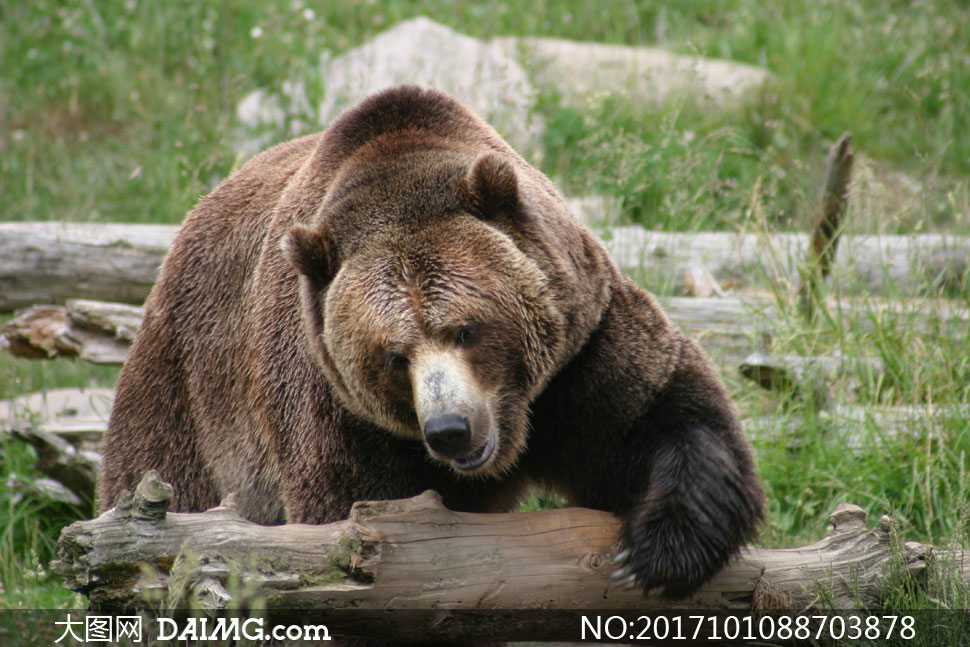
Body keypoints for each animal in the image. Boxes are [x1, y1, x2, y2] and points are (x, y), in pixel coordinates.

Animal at [98, 87, 764, 608]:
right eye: (394, 356)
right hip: (186, 397)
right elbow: (353, 524)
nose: (450, 429)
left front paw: (656, 552)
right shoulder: (338, 412)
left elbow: (660, 415)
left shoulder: (578, 348)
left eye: (466, 329)